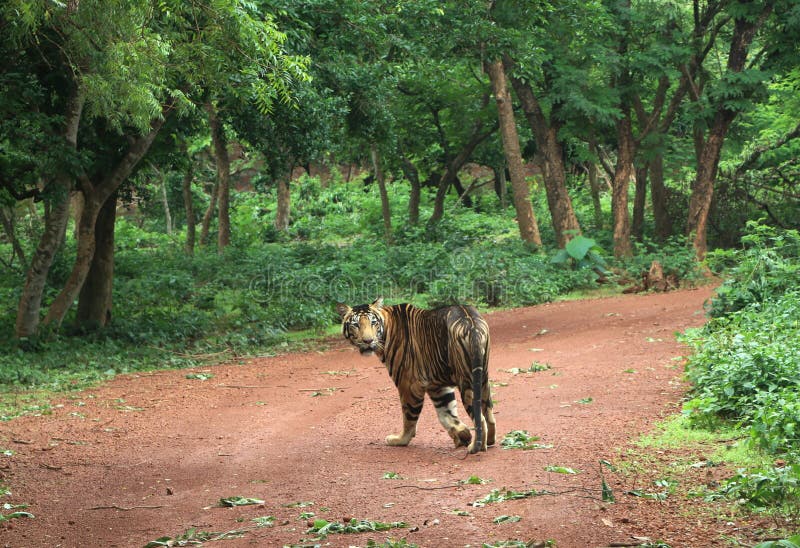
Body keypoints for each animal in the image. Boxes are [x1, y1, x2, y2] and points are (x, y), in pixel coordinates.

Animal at [336, 296, 494, 454]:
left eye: (373, 323)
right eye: (356, 325)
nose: (368, 341)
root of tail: (472, 322)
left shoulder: (408, 384)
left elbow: (409, 417)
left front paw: (400, 440)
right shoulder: (437, 387)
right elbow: (446, 414)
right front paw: (462, 434)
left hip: (467, 381)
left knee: (480, 418)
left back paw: (476, 447)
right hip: (483, 378)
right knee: (489, 413)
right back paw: (490, 441)